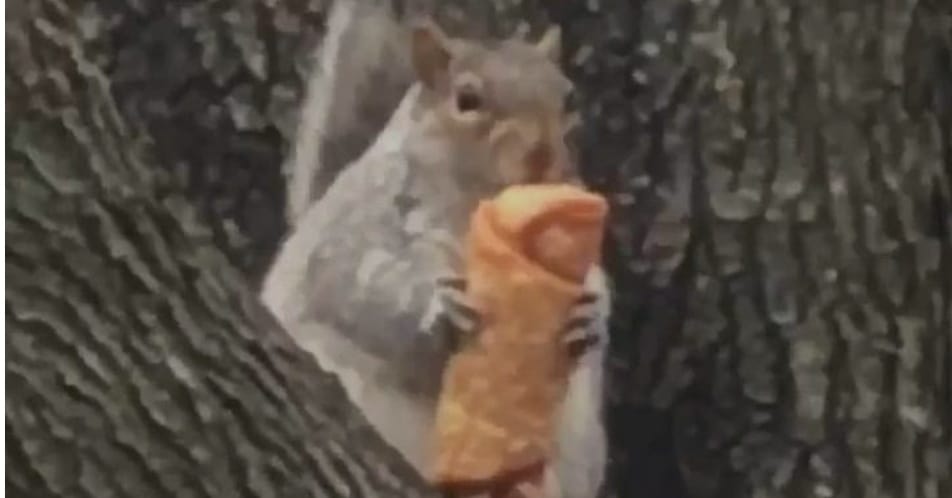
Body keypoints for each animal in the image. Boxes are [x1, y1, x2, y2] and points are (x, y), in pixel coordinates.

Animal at [262, 5, 609, 498]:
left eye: (569, 98)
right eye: (466, 99)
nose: (542, 155)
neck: (475, 205)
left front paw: (589, 318)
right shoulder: (360, 219)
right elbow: (351, 282)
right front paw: (440, 312)